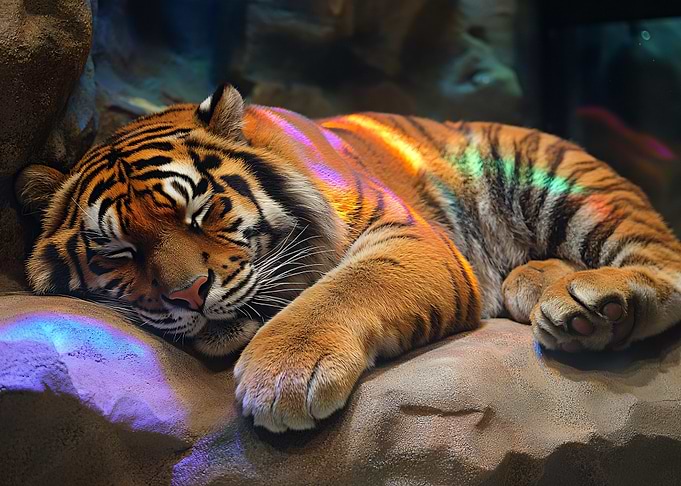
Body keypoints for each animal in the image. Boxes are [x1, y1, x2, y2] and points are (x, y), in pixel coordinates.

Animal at [16, 84, 681, 433]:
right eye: (120, 252)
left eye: (200, 211)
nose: (188, 294)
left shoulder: (406, 235)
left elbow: (344, 288)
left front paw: (283, 376)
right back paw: (565, 307)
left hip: (564, 181)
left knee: (666, 258)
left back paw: (602, 303)